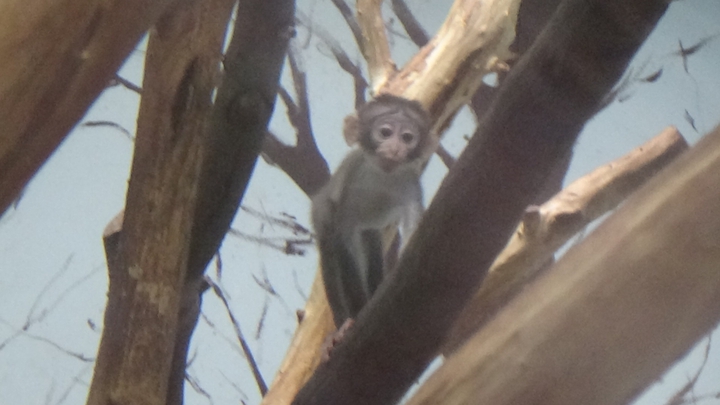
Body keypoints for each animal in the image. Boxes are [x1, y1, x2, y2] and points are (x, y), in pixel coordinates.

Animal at [311, 94, 431, 336]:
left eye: (407, 137)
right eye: (385, 132)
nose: (395, 147)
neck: (382, 177)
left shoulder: (411, 185)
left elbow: (413, 229)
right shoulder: (352, 182)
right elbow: (344, 239)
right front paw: (352, 319)